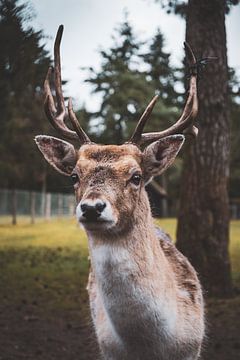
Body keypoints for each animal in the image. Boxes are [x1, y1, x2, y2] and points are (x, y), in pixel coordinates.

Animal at [35, 26, 204, 360]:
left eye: (136, 176)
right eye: (74, 176)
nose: (92, 208)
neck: (149, 346)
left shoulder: (193, 348)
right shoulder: (108, 349)